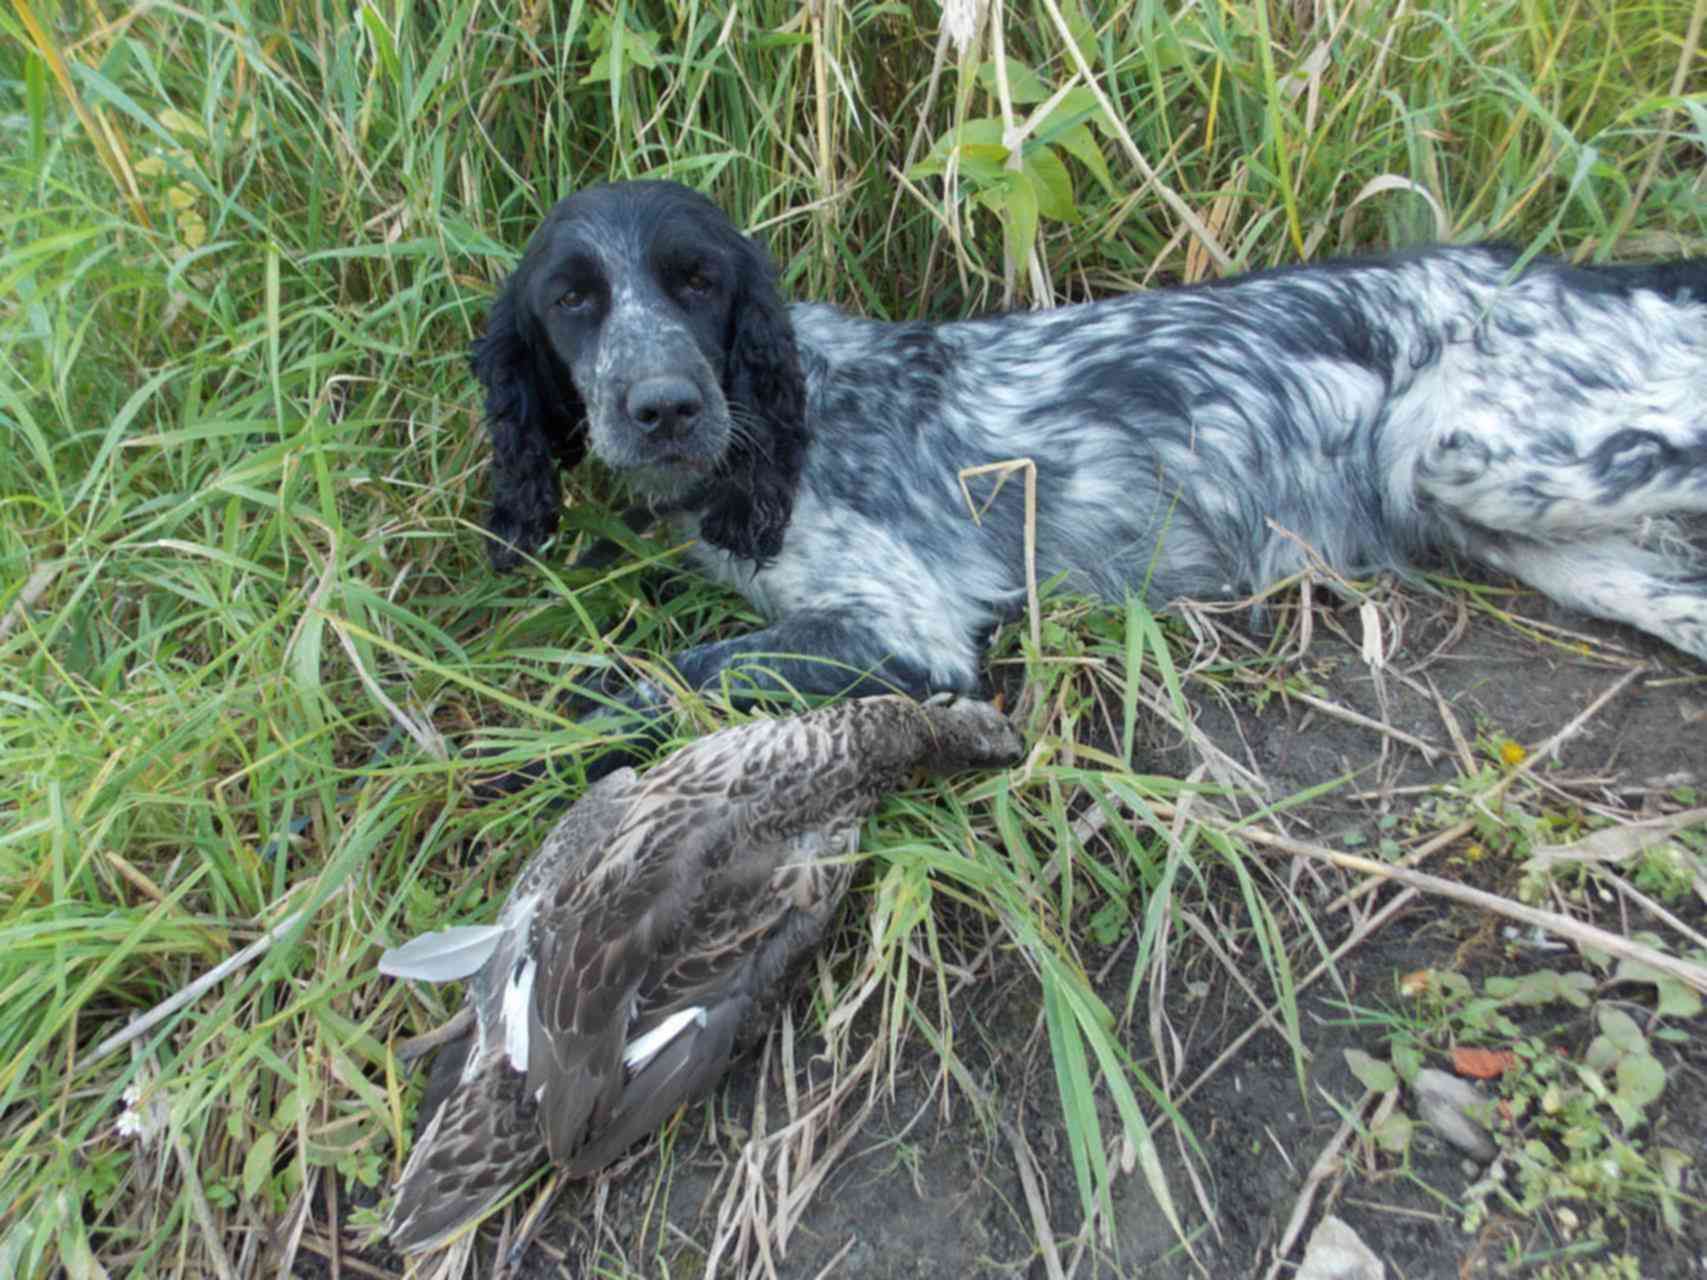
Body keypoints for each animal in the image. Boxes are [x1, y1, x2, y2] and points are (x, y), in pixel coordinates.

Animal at [471, 180, 1707, 723]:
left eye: (700, 280)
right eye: (572, 300)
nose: (665, 407)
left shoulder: (907, 628)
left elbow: (654, 681)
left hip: (1474, 450)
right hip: (1532, 526)